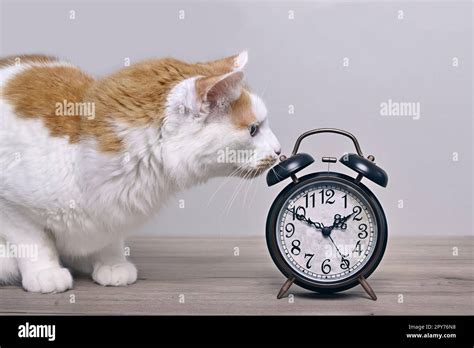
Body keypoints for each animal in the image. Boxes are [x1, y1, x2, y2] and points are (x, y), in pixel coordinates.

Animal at [0, 51, 282, 292]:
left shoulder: (115, 213)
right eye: (253, 129)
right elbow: (34, 242)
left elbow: (111, 238)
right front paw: (45, 273)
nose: (280, 150)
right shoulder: (12, 207)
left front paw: (112, 264)